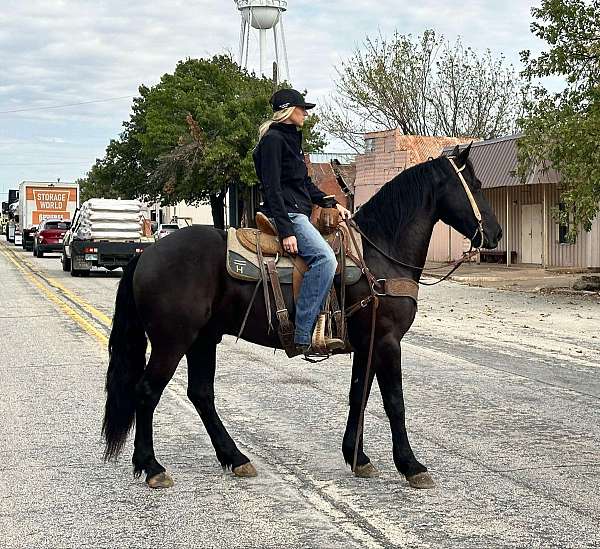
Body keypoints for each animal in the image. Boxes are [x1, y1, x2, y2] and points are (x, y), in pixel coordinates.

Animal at [102, 144, 502, 488]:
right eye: (476, 186)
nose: (496, 233)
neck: (379, 255)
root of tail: (147, 254)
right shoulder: (388, 341)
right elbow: (394, 403)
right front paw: (411, 465)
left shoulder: (367, 344)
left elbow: (359, 396)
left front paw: (357, 458)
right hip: (172, 341)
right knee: (148, 391)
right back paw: (151, 466)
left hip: (203, 339)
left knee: (200, 394)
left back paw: (235, 457)